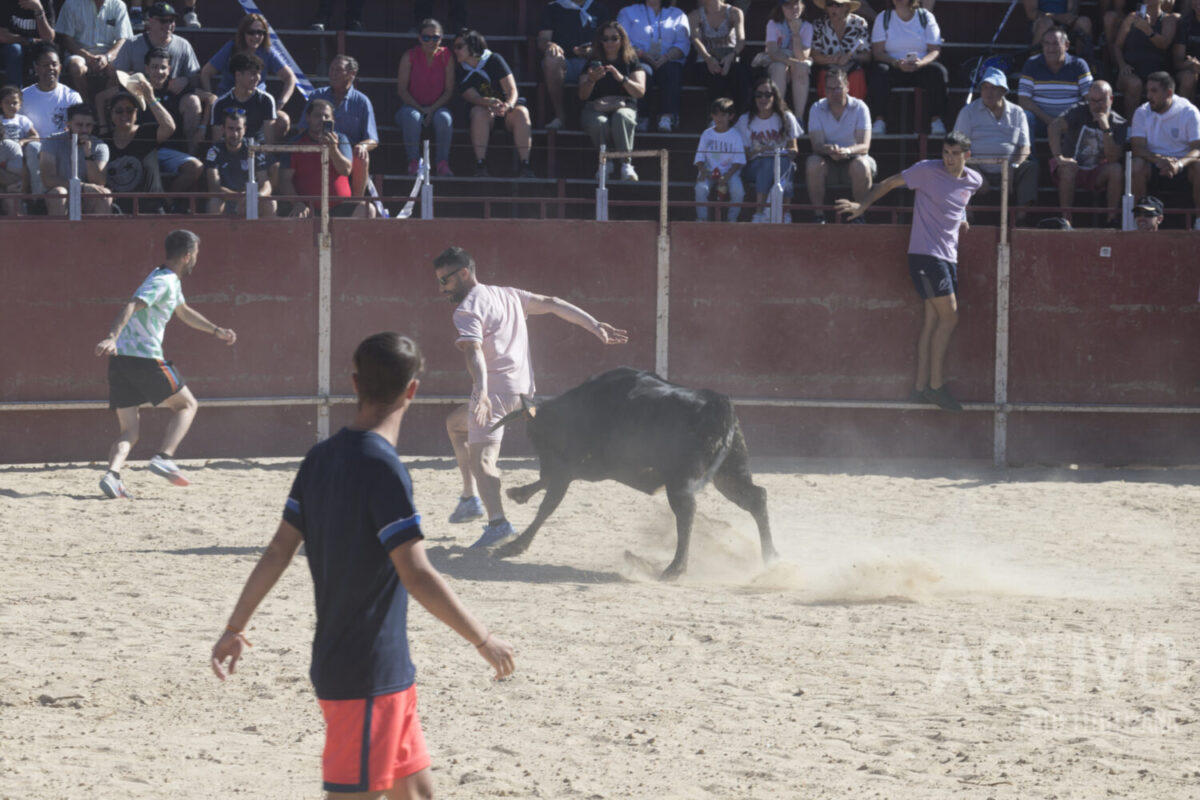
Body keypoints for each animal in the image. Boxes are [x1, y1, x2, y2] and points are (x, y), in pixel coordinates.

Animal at [487, 367, 777, 578]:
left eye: (536, 436)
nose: (543, 461)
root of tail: (719, 402)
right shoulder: (573, 468)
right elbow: (545, 487)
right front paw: (518, 494)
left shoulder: (566, 467)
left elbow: (547, 504)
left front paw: (516, 545)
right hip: (729, 473)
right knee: (756, 497)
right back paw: (770, 557)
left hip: (681, 482)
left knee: (686, 514)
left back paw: (675, 569)